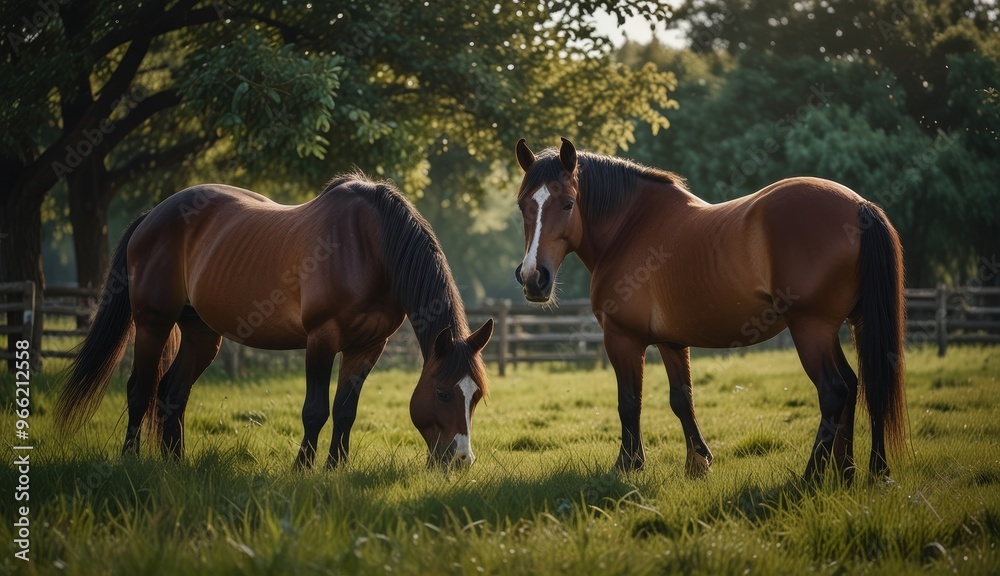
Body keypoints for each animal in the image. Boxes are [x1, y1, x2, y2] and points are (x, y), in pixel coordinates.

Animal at [56, 173, 494, 470]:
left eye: (475, 397)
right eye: (442, 394)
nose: (461, 460)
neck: (368, 246)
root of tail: (152, 216)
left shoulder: (368, 346)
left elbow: (345, 410)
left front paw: (336, 467)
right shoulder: (321, 338)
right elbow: (316, 409)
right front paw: (302, 467)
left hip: (201, 333)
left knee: (172, 391)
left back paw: (175, 463)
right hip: (153, 322)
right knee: (140, 388)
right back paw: (130, 458)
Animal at [513, 138, 906, 481]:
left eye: (568, 203)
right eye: (523, 205)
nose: (533, 278)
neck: (630, 227)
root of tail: (860, 205)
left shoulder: (623, 338)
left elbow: (629, 402)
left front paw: (629, 465)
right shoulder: (672, 342)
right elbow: (681, 400)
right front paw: (697, 463)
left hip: (811, 328)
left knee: (834, 390)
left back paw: (811, 477)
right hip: (849, 324)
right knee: (858, 385)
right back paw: (859, 472)